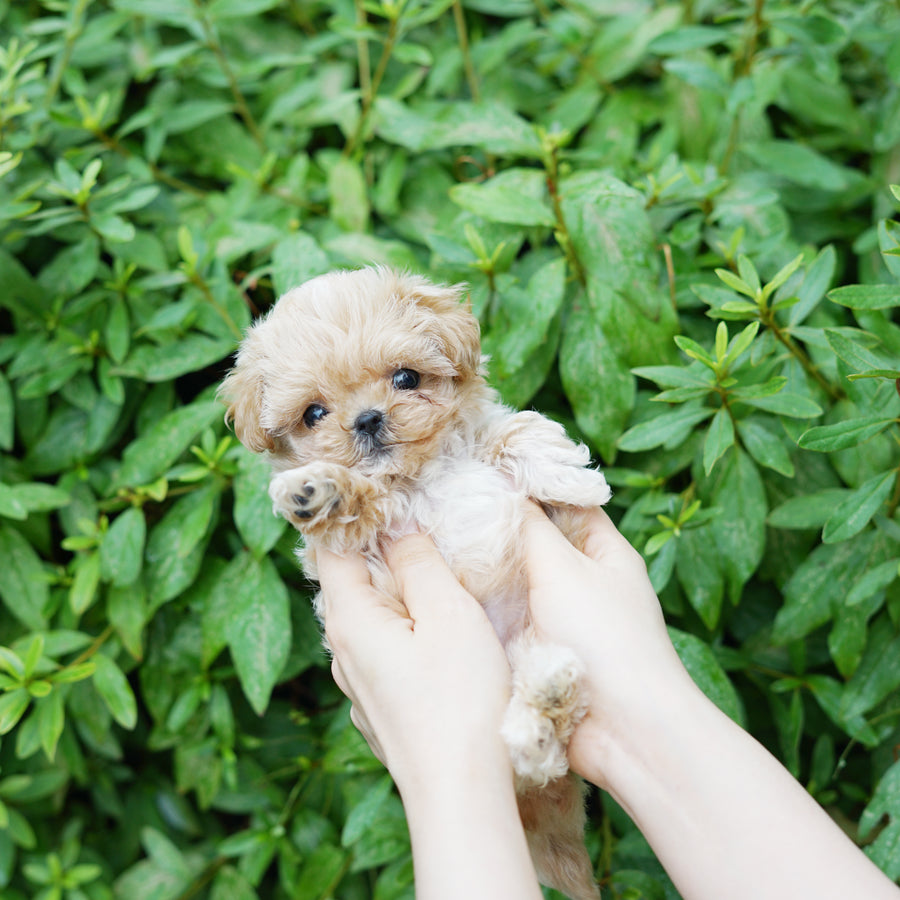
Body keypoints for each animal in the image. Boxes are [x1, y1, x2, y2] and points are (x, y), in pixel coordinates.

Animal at [219, 268, 612, 900]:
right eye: (313, 413)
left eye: (406, 378)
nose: (368, 419)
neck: (421, 477)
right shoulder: (366, 550)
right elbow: (357, 505)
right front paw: (317, 491)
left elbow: (516, 429)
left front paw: (567, 473)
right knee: (536, 762)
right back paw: (539, 715)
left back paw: (545, 695)